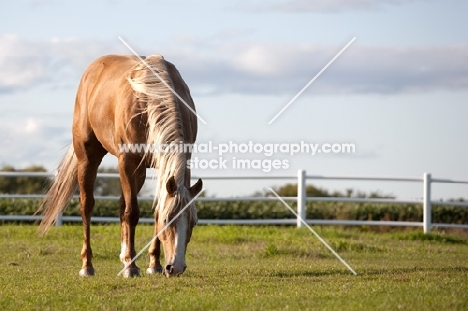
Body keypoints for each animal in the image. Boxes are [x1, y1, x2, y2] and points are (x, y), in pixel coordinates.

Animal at [37, 54, 202, 280]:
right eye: (168, 220)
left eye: (193, 222)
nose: (175, 268)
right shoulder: (127, 161)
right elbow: (132, 213)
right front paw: (132, 268)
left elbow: (149, 209)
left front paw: (153, 264)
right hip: (88, 158)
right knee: (87, 205)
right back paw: (88, 266)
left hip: (139, 172)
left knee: (121, 204)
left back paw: (124, 257)